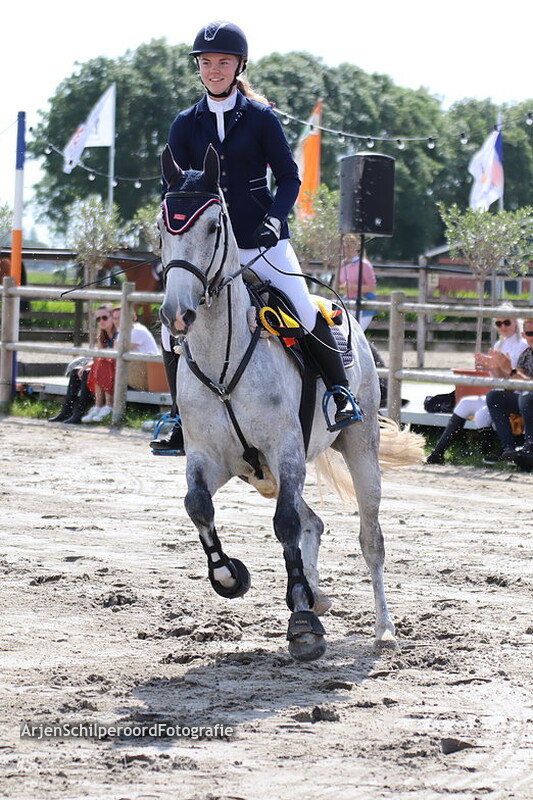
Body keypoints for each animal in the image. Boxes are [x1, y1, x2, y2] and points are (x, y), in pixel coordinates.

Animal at [158, 143, 423, 662]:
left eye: (214, 226)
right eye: (163, 226)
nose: (177, 314)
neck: (223, 360)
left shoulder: (285, 450)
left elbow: (284, 525)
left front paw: (302, 622)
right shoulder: (209, 457)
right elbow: (198, 506)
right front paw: (229, 577)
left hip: (357, 450)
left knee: (369, 538)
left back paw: (383, 629)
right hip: (264, 475)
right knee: (313, 522)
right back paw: (319, 595)